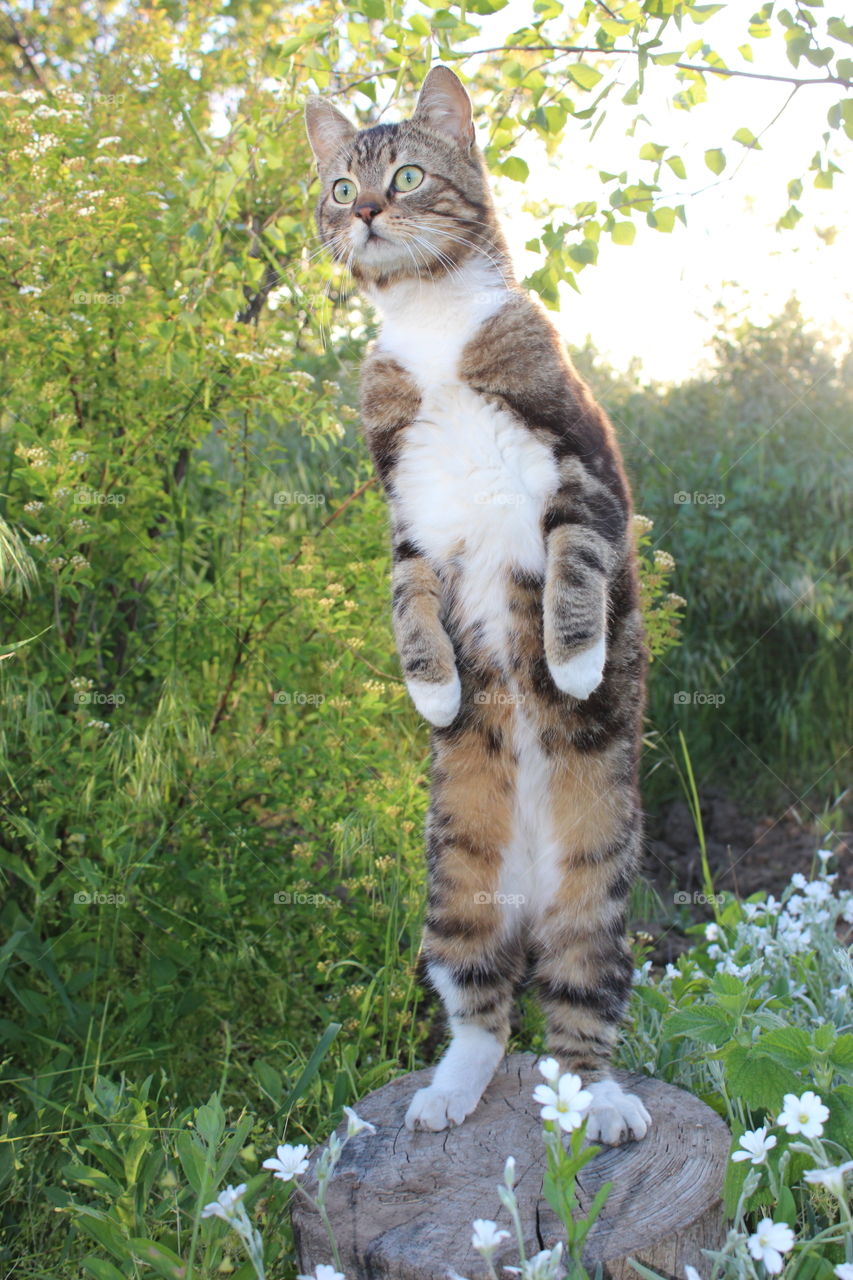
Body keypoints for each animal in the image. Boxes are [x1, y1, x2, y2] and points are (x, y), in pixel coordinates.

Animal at [306, 64, 650, 1146]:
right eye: (341, 185)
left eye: (409, 174)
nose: (366, 212)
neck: (430, 328)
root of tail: (531, 901)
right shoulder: (408, 520)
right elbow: (408, 603)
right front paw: (433, 692)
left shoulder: (585, 470)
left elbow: (576, 562)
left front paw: (575, 661)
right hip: (451, 887)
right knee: (484, 1013)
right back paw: (448, 1091)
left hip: (599, 899)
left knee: (580, 1018)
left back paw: (604, 1104)